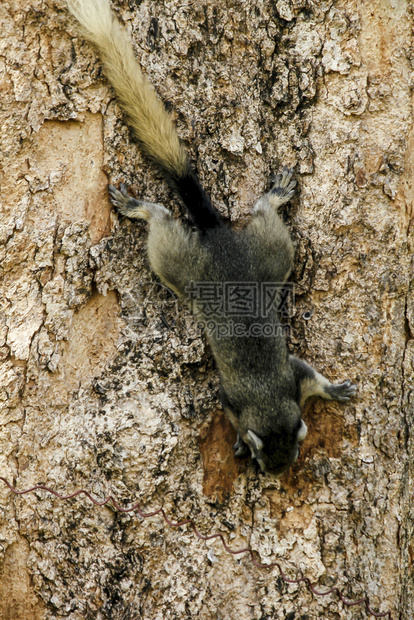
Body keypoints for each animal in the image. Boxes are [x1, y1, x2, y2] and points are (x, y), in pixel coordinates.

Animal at [64, 0, 356, 478]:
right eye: (263, 457)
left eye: (293, 450)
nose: (279, 475)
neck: (266, 398)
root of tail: (219, 237)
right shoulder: (234, 397)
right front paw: (236, 439)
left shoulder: (294, 378)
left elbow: (316, 380)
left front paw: (335, 391)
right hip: (201, 263)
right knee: (171, 219)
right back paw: (142, 206)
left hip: (261, 258)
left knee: (243, 217)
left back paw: (270, 195)